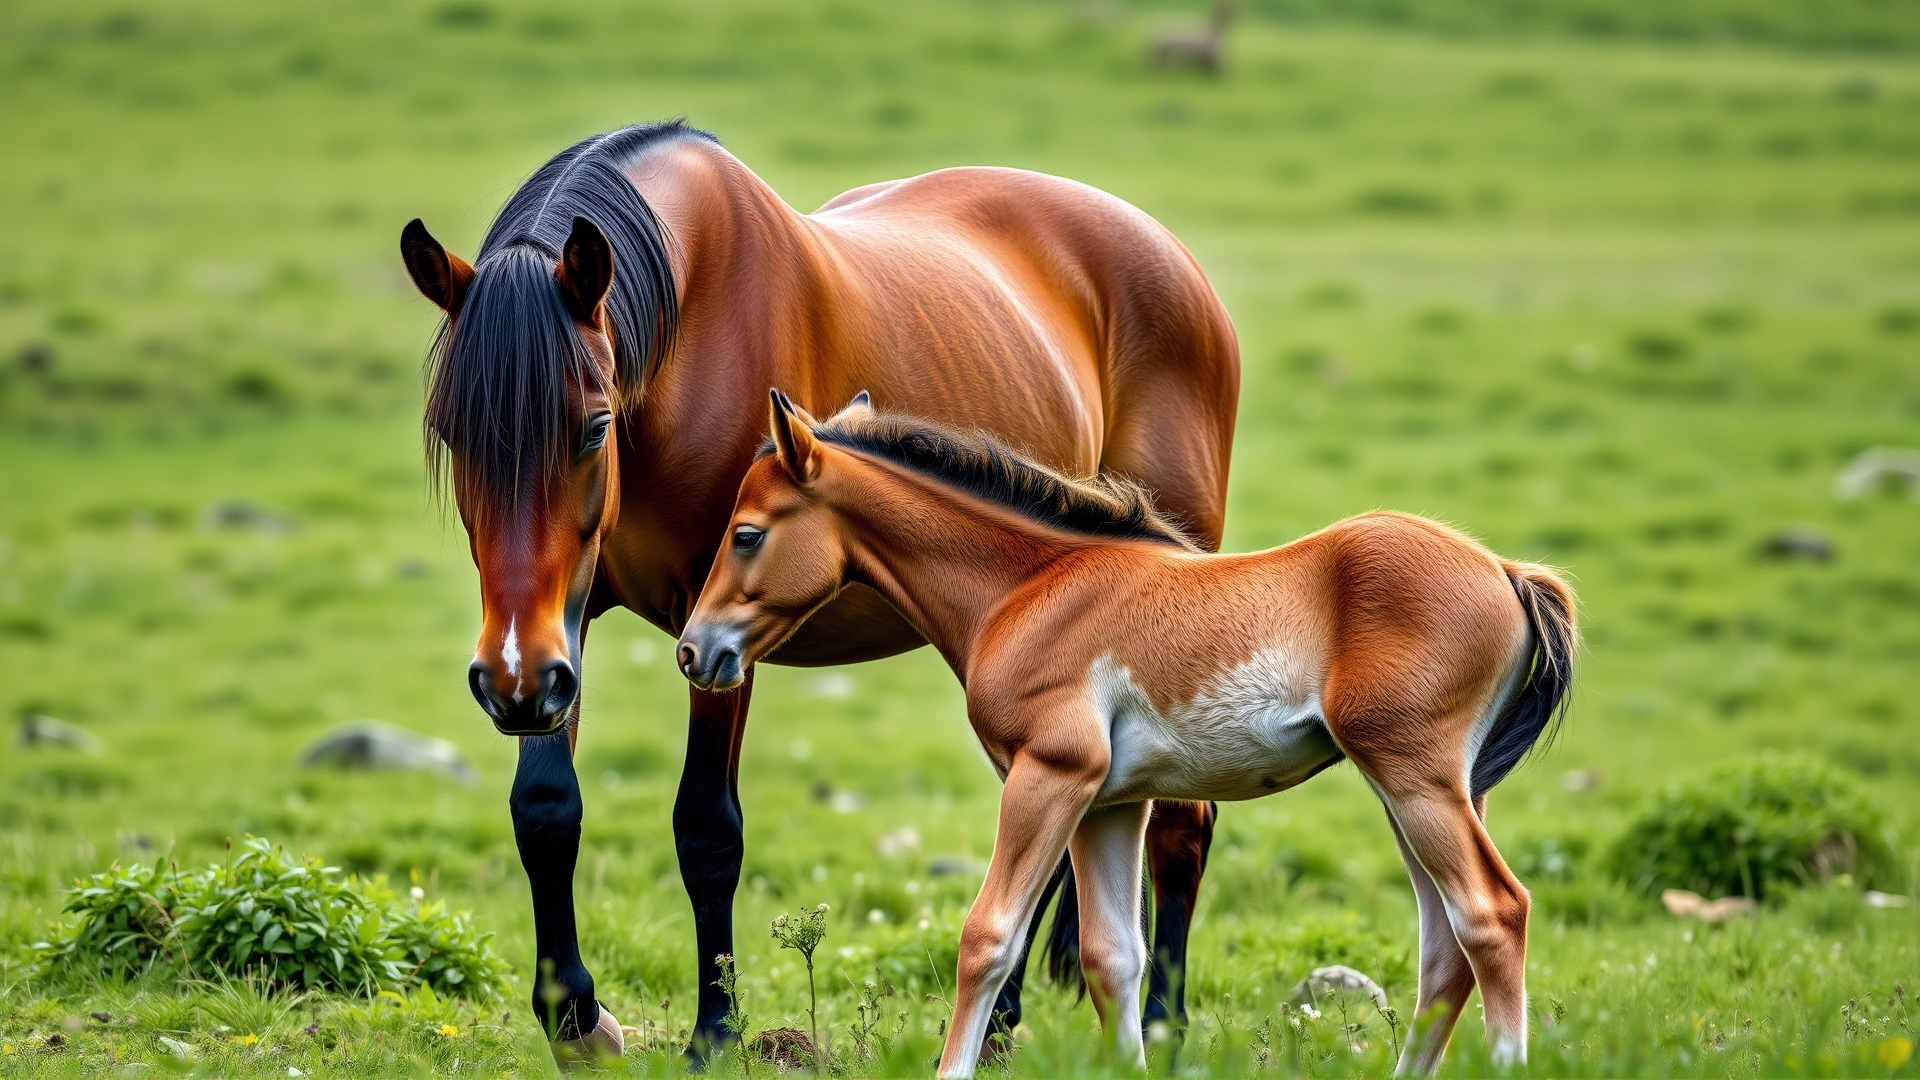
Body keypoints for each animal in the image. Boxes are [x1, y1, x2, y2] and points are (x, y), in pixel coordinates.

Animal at [396, 121, 1239, 1063]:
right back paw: (1001, 1026)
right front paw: (577, 1021)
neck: (686, 331)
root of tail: (1169, 253)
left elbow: (706, 828)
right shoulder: (560, 629)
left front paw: (715, 1034)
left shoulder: (719, 631)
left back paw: (1160, 1024)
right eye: (449, 432)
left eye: (593, 425)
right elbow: (545, 809)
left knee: (1182, 821)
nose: (506, 679)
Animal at [678, 392, 1577, 1077]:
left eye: (747, 532)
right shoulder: (1112, 804)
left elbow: (987, 937)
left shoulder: (1050, 775)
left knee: (1493, 914)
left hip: (1415, 779)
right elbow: (1114, 959)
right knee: (1445, 948)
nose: (695, 649)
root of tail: (1508, 572)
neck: (1030, 587)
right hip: (1421, 791)